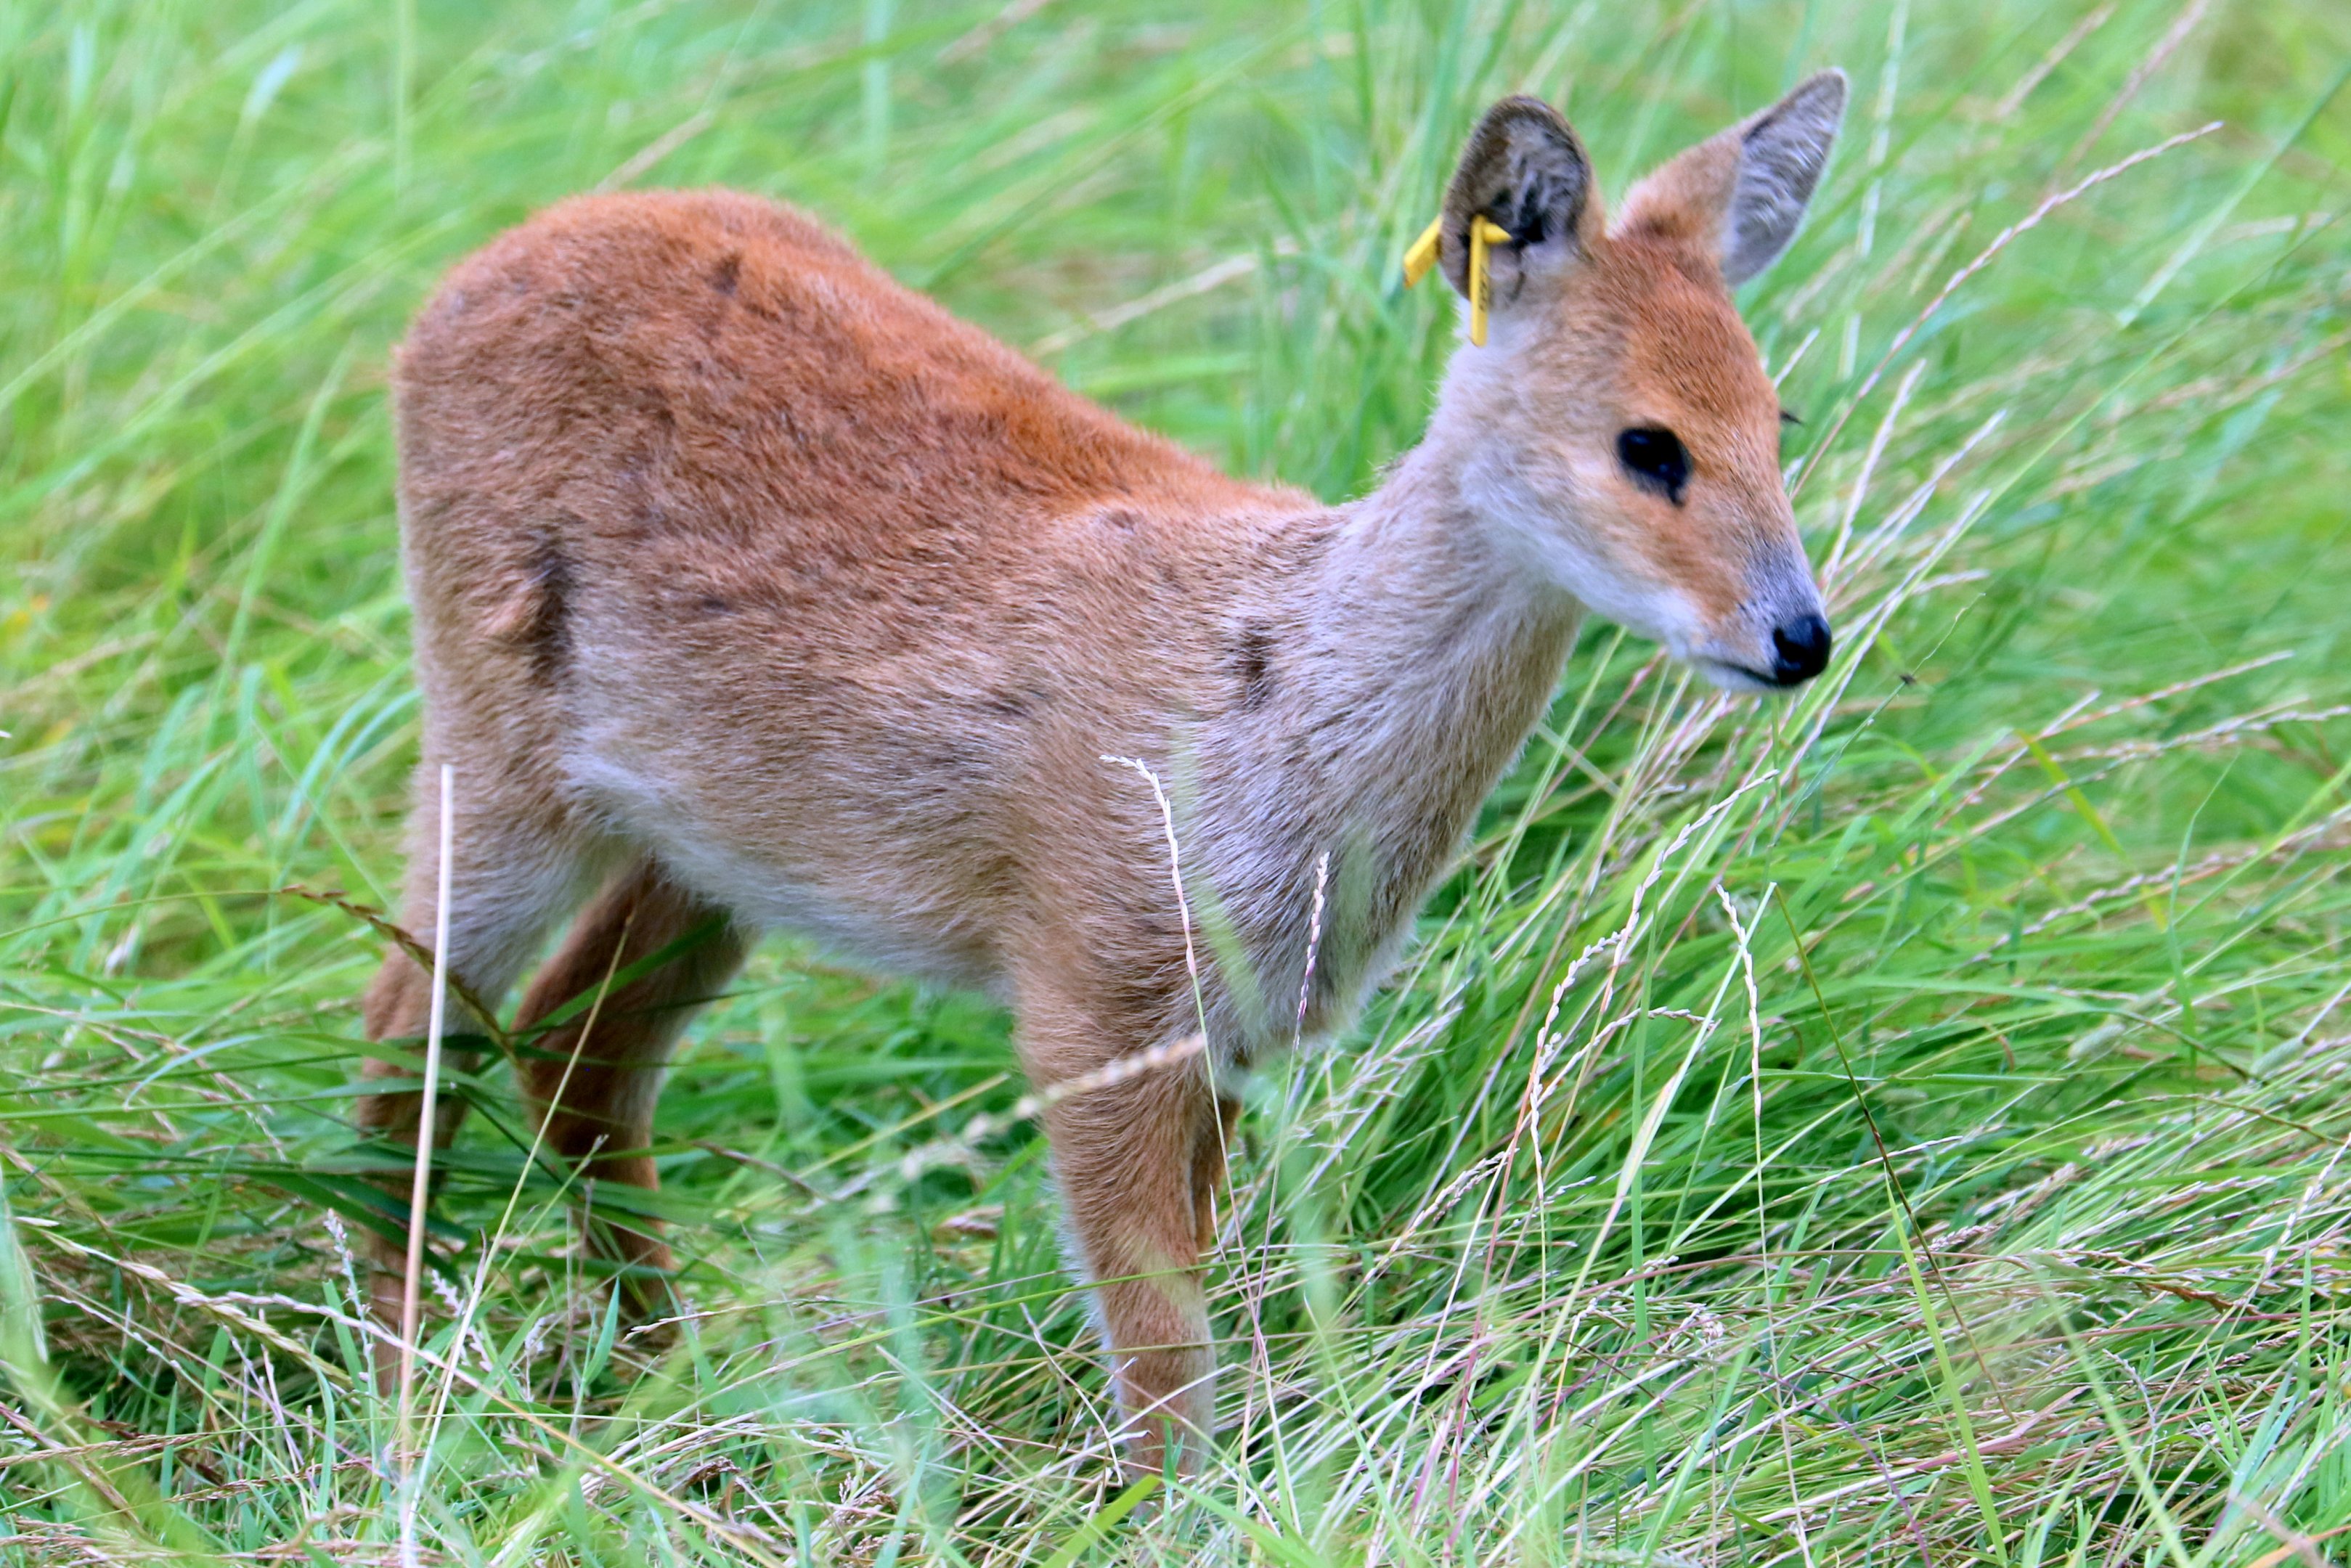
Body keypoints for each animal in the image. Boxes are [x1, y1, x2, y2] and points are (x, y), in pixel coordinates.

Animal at [353, 71, 1846, 1474]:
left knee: (573, 1047)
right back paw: (404, 1396)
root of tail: (469, 275)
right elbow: (1163, 1348)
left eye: (1777, 419)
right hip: (496, 757)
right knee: (405, 1029)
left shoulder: (1236, 1034)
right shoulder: (1093, 999)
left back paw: (667, 1375)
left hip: (718, 849)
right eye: (1646, 444)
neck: (1278, 718)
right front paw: (1168, 1508)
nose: (1798, 638)